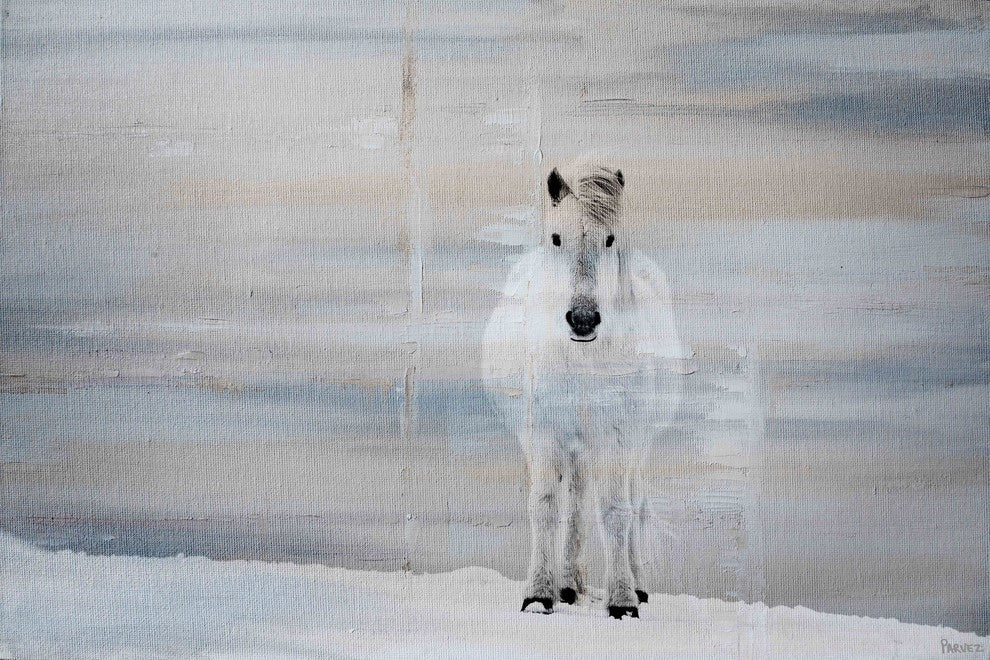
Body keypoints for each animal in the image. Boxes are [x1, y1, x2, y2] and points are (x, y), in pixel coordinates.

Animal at [482, 161, 688, 619]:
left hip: (636, 443)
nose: (582, 320)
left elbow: (616, 511)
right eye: (556, 237)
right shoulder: (544, 434)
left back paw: (635, 583)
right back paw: (567, 584)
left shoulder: (617, 437)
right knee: (575, 504)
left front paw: (622, 600)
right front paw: (539, 594)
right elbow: (546, 506)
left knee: (634, 504)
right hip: (574, 445)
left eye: (609, 239)